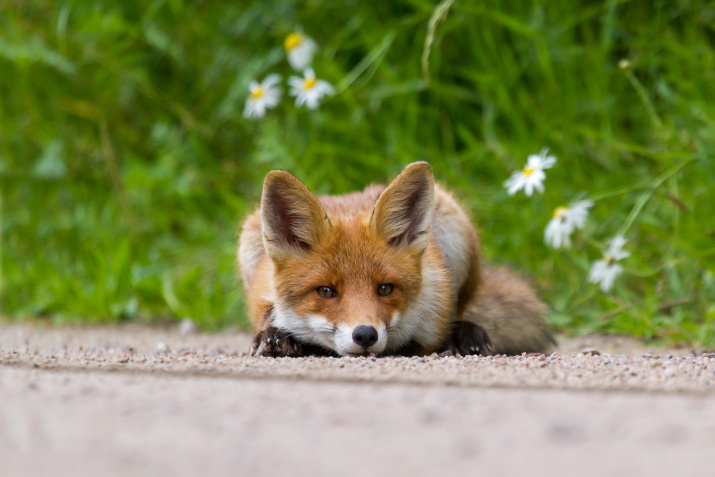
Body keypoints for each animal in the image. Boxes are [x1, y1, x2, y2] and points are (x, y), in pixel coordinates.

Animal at [238, 162, 556, 356]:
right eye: (326, 291)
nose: (365, 335)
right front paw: (277, 337)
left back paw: (465, 334)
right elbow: (271, 321)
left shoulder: (431, 323)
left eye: (385, 289)